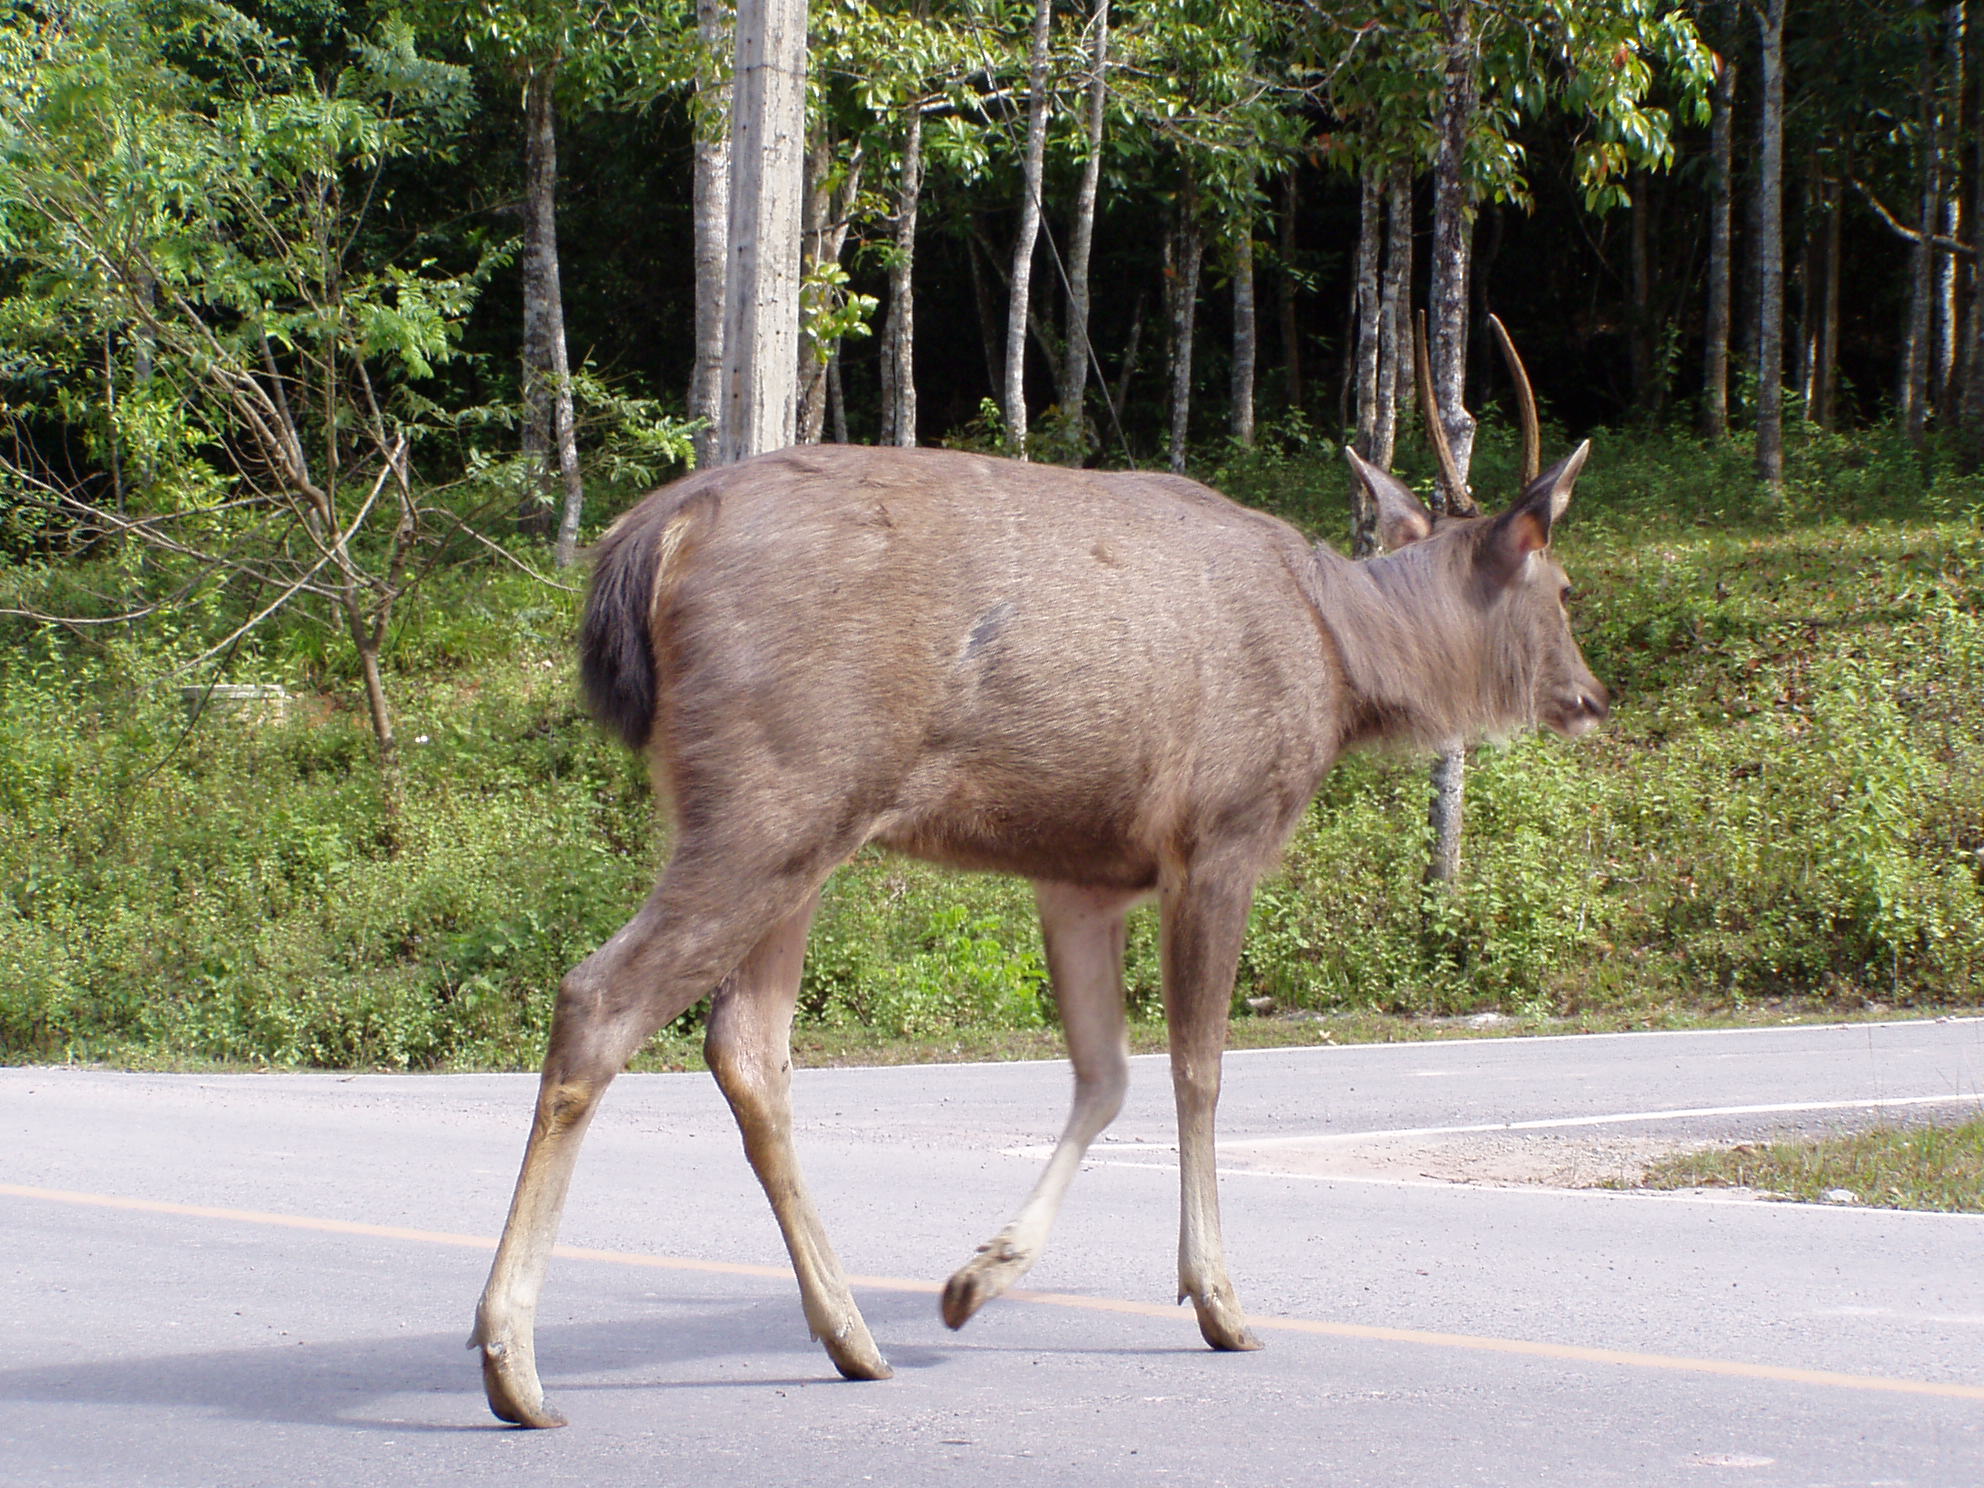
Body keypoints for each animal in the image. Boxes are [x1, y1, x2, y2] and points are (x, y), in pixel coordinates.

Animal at [468, 343, 1611, 1428]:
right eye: (1564, 591)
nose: (1593, 696)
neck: (1347, 668)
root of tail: (651, 541)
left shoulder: (1082, 872)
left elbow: (1103, 1075)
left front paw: (976, 1277)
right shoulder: (1222, 832)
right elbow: (1198, 1070)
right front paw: (1219, 1302)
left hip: (785, 824)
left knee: (747, 1047)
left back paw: (850, 1336)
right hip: (774, 795)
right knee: (598, 999)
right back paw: (513, 1363)